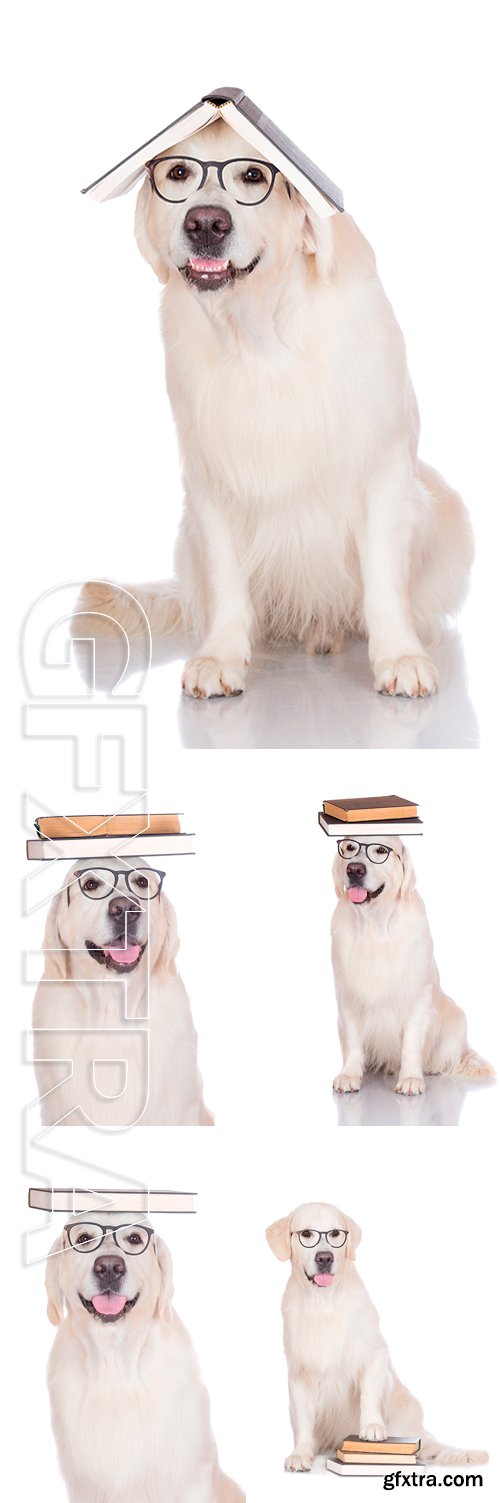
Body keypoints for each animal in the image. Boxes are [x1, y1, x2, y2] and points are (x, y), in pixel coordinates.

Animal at [76, 114, 471, 700]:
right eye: (177, 173)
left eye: (254, 175)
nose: (207, 223)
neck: (260, 336)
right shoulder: (210, 476)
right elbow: (226, 578)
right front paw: (220, 656)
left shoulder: (381, 466)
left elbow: (382, 576)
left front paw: (400, 657)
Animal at [264, 1202, 486, 1472]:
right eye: (306, 1234)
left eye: (335, 1233)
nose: (325, 1258)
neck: (323, 1304)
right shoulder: (298, 1370)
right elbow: (303, 1419)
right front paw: (300, 1454)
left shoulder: (375, 1354)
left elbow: (369, 1395)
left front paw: (371, 1428)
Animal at [328, 835, 492, 1094]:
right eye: (350, 847)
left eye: (381, 850)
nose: (354, 870)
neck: (375, 926)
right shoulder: (347, 994)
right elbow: (353, 1039)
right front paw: (349, 1074)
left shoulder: (417, 995)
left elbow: (411, 1043)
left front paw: (411, 1078)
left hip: (457, 1020)